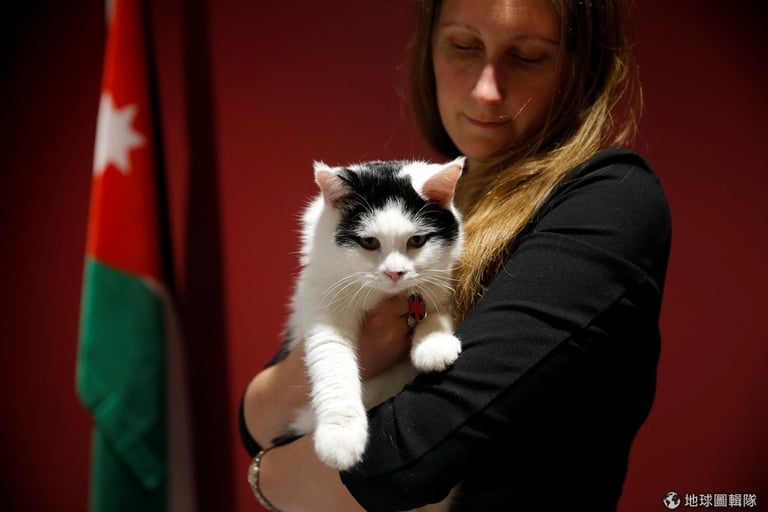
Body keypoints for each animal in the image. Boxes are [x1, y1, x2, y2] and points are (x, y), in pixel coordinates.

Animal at [279, 157, 466, 477]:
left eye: (417, 240)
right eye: (369, 243)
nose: (395, 273)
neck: (382, 294)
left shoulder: (438, 278)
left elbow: (436, 305)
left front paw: (434, 342)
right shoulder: (323, 298)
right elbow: (333, 361)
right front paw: (340, 437)